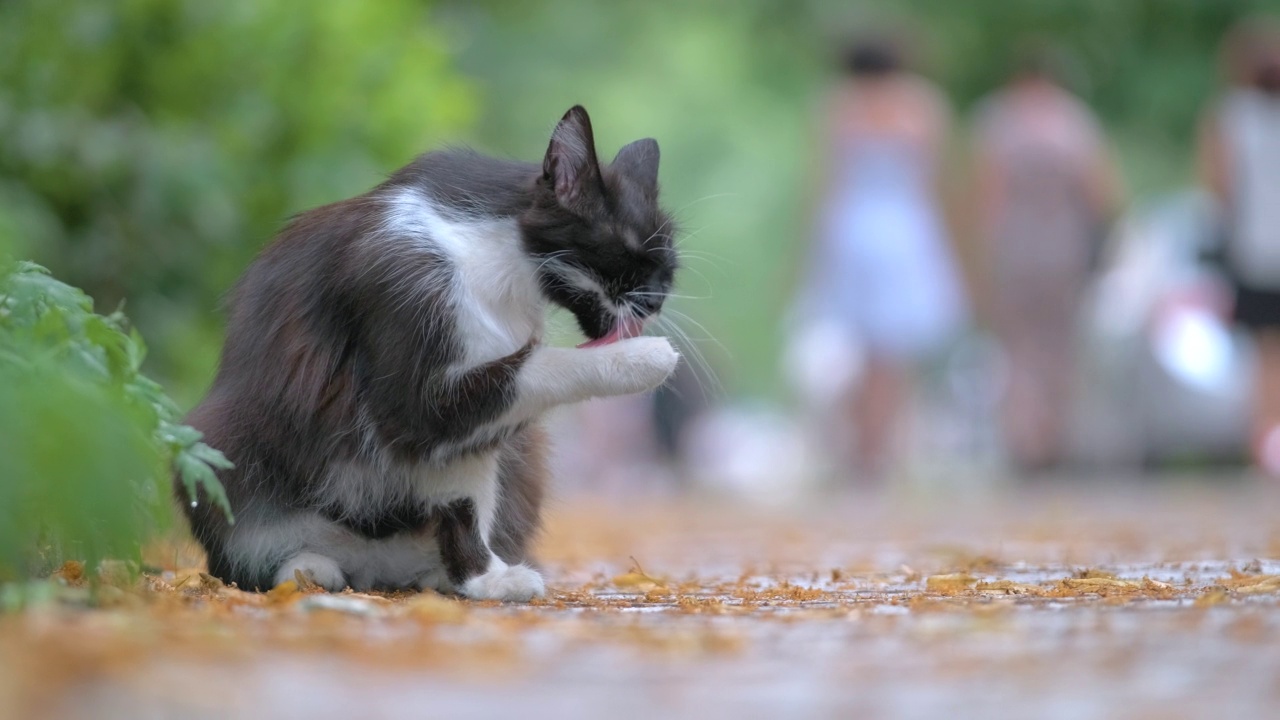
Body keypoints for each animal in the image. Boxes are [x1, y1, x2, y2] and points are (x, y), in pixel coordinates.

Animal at [183, 107, 680, 599]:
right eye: (630, 250)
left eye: (669, 268)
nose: (657, 301)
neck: (499, 261)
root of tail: (373, 568)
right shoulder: (405, 308)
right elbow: (528, 369)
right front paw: (644, 357)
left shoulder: (464, 425)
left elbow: (464, 483)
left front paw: (484, 577)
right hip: (216, 446)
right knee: (245, 559)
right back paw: (303, 570)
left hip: (521, 454)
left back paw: (442, 574)